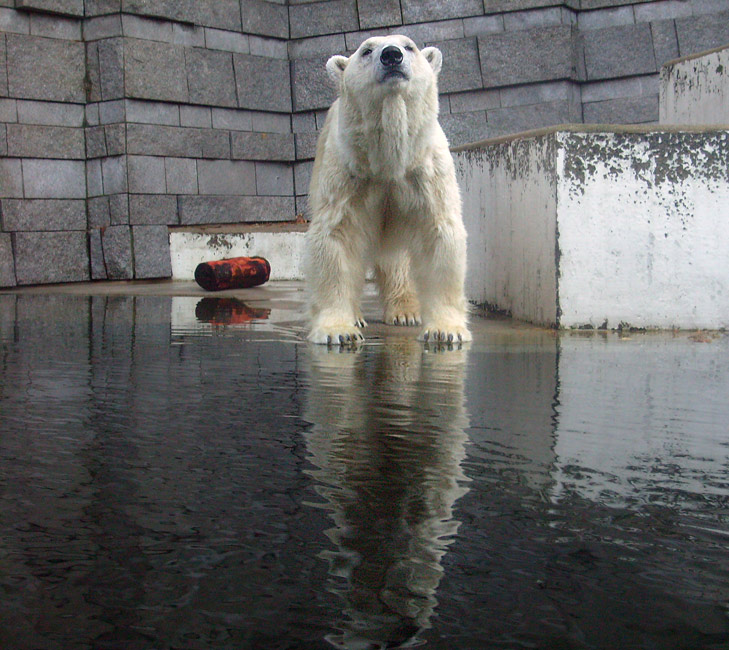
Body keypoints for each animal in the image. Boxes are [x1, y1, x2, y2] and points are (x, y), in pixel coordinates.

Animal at [302, 34, 470, 344]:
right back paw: (358, 316)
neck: (388, 159)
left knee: (396, 260)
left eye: (409, 46)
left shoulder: (425, 171)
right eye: (366, 50)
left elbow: (439, 234)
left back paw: (406, 312)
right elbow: (336, 237)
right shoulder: (347, 173)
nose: (391, 55)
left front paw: (445, 330)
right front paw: (338, 331)